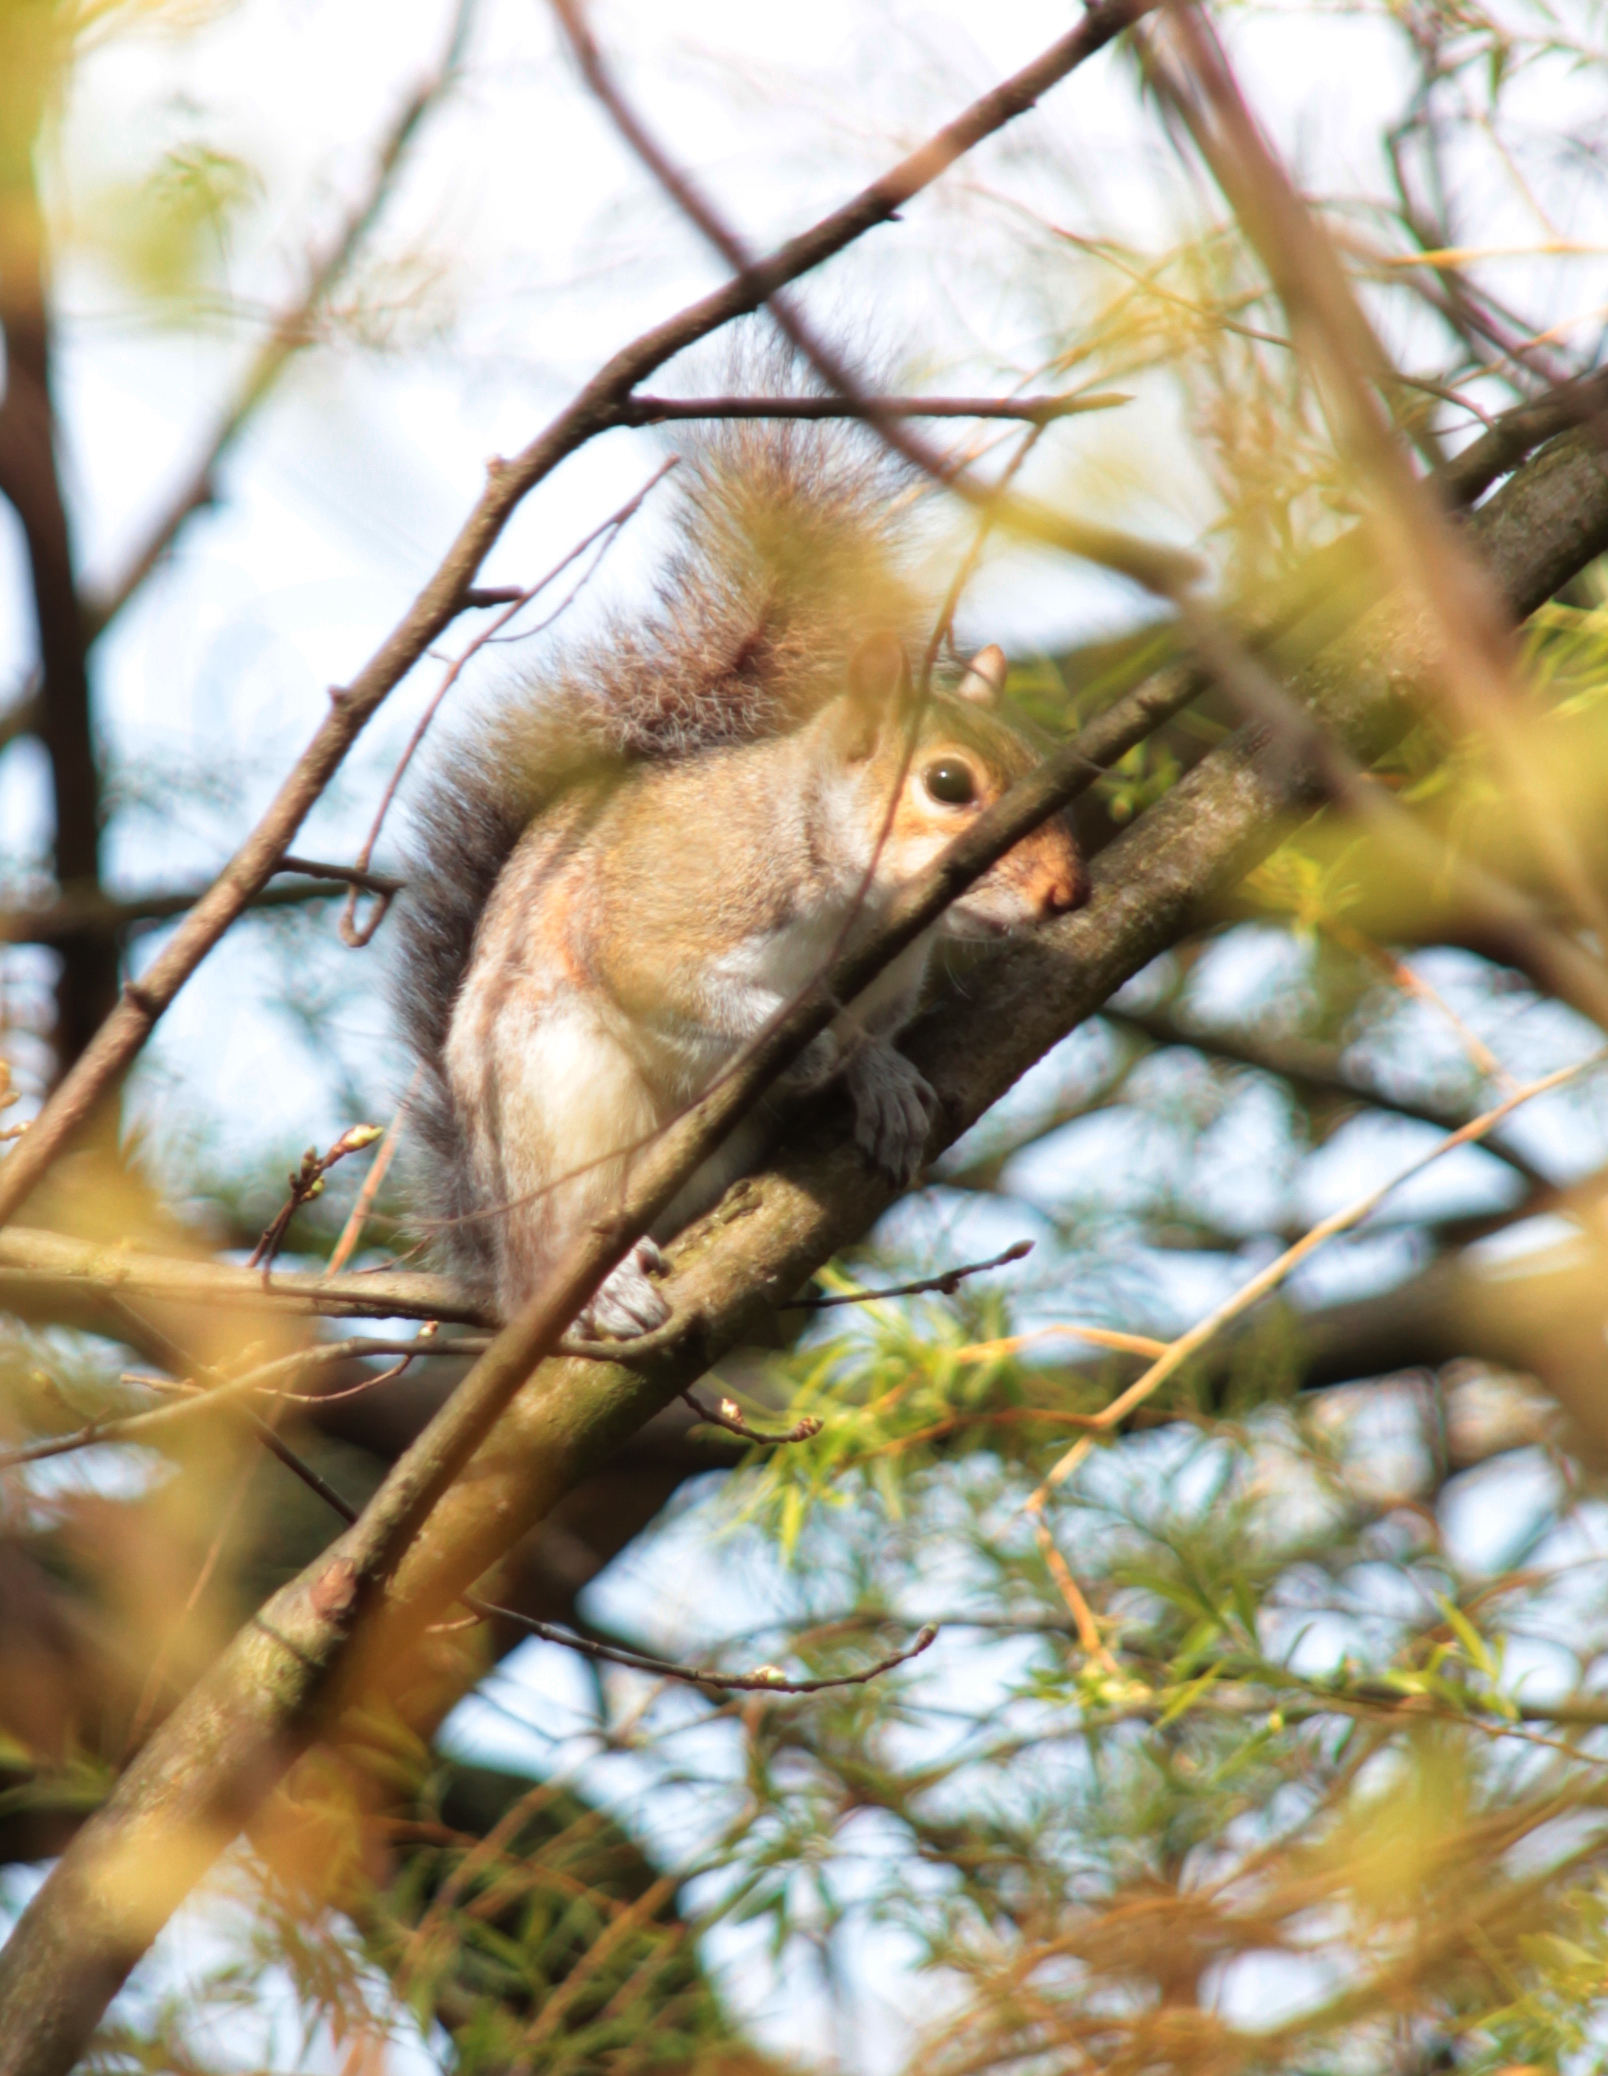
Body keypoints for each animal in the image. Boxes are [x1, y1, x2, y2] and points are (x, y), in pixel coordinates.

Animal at [394, 419, 1087, 1337]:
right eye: (948, 784)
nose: (1067, 892)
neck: (850, 901)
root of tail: (496, 1263)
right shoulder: (673, 900)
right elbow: (653, 973)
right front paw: (800, 1033)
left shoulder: (894, 980)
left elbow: (875, 1033)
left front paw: (876, 1074)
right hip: (552, 1108)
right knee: (558, 1239)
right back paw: (599, 1287)